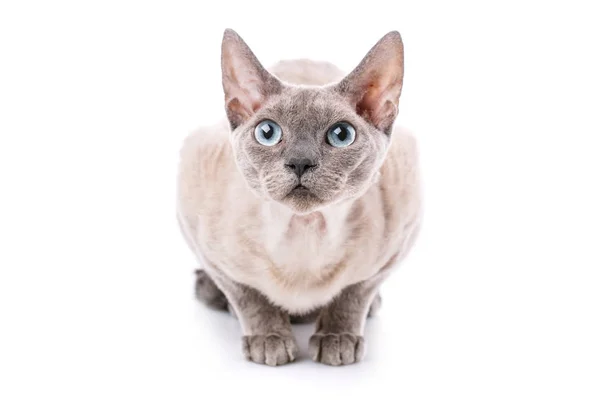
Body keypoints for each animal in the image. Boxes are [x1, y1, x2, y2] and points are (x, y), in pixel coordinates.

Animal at [177, 28, 422, 366]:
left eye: (341, 135)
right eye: (268, 133)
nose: (300, 162)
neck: (305, 232)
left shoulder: (399, 238)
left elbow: (354, 293)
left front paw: (337, 337)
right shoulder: (200, 234)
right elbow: (247, 296)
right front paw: (269, 338)